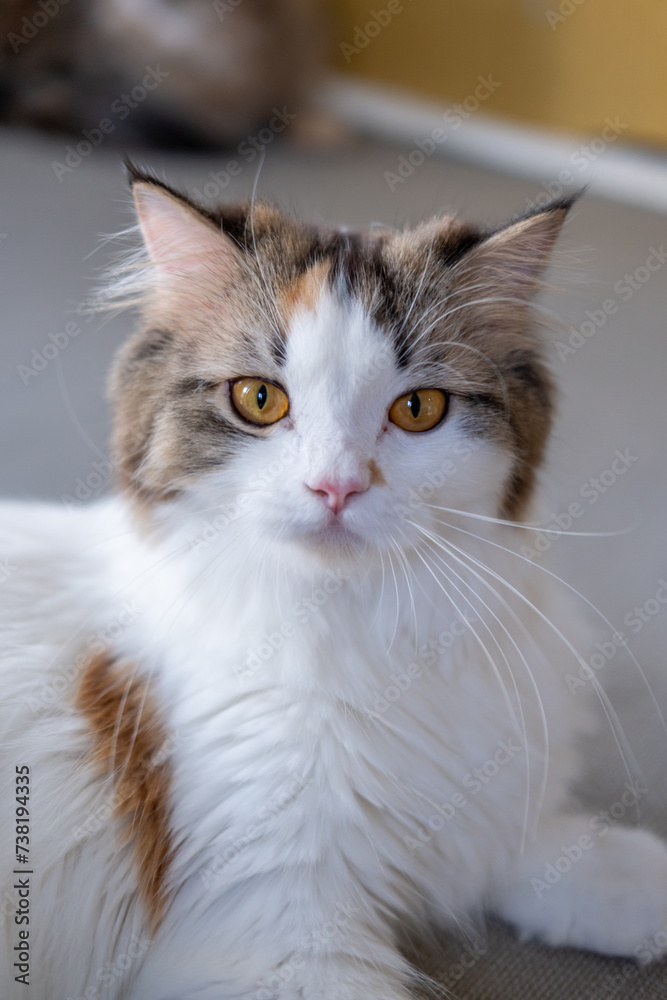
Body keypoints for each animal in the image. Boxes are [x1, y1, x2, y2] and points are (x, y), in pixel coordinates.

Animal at [1, 168, 667, 996]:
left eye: (417, 409)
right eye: (258, 399)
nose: (335, 487)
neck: (365, 633)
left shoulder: (466, 809)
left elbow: (532, 850)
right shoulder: (274, 926)